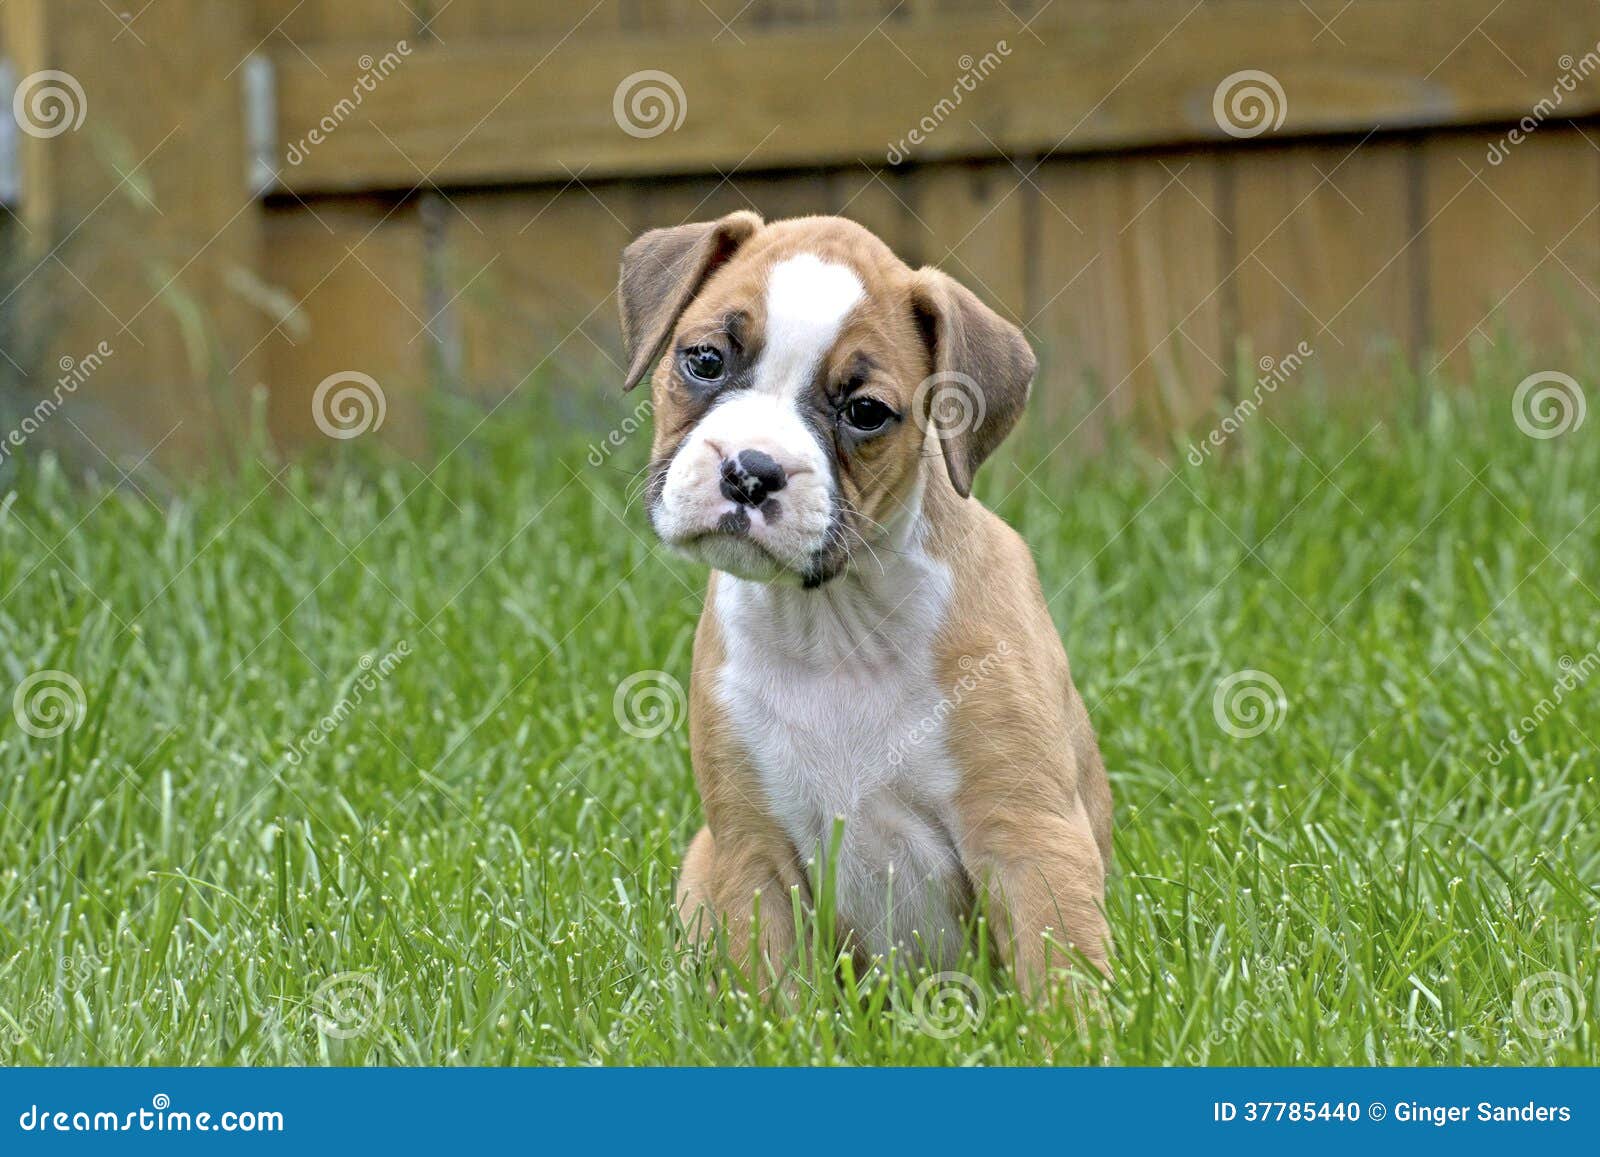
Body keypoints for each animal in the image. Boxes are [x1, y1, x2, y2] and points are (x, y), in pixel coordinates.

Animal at [614, 211, 1113, 998]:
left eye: (865, 412)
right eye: (705, 361)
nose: (750, 472)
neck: (836, 622)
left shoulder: (1028, 836)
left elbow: (1065, 975)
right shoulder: (753, 852)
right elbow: (777, 995)